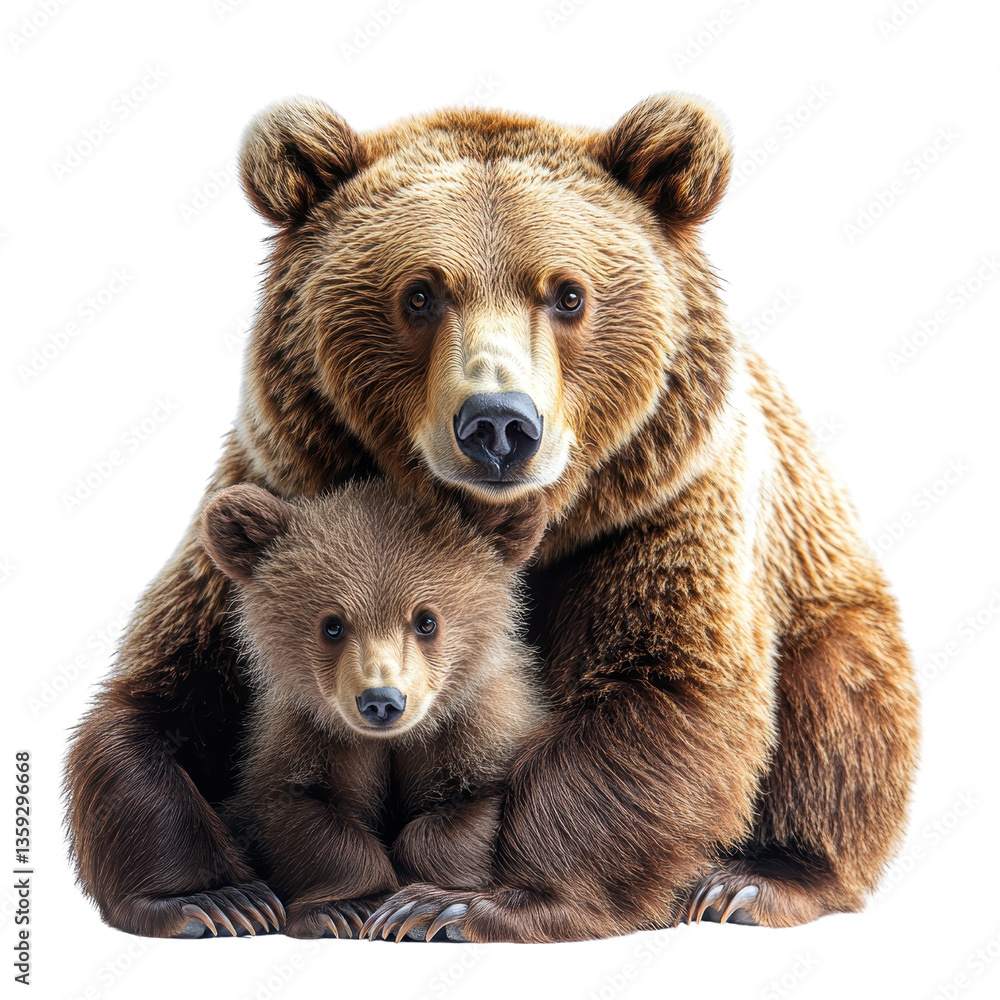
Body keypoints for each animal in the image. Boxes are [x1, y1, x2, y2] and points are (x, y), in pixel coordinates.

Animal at [197, 479, 545, 940]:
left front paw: (422, 905)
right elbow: (306, 818)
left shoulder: (479, 729)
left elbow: (466, 814)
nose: (382, 700)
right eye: (332, 625)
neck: (396, 740)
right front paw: (344, 909)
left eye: (426, 620)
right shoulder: (306, 741)